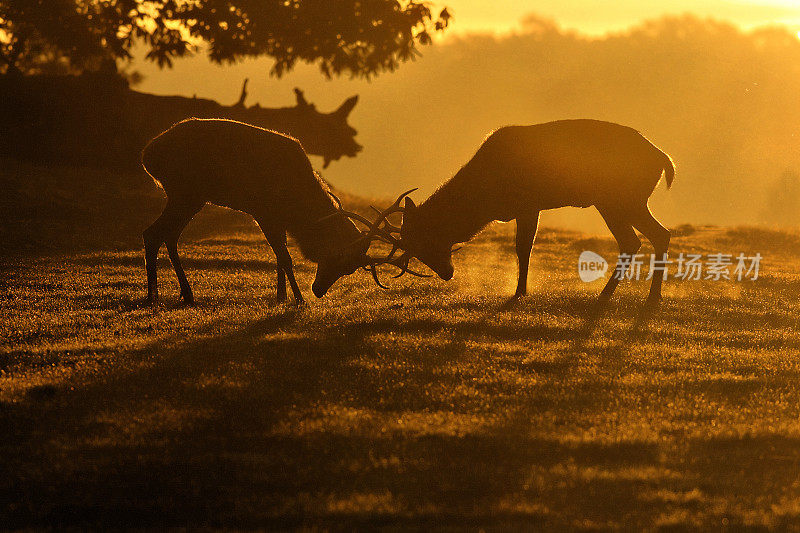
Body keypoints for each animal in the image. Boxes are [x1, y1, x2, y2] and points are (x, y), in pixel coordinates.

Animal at [142, 119, 418, 306]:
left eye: (348, 269)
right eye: (341, 259)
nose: (318, 290)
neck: (297, 208)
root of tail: (147, 154)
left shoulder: (278, 220)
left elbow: (278, 257)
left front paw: (281, 296)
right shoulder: (263, 212)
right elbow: (285, 258)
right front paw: (298, 299)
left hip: (188, 197)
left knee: (168, 235)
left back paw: (186, 294)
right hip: (185, 192)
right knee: (152, 233)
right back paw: (153, 296)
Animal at [366, 118, 680, 306]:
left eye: (425, 240)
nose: (447, 273)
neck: (488, 198)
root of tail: (664, 159)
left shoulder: (528, 204)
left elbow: (523, 247)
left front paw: (519, 292)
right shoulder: (528, 208)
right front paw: (521, 290)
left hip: (618, 199)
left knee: (636, 239)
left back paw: (610, 295)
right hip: (629, 201)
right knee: (656, 235)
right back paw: (649, 297)